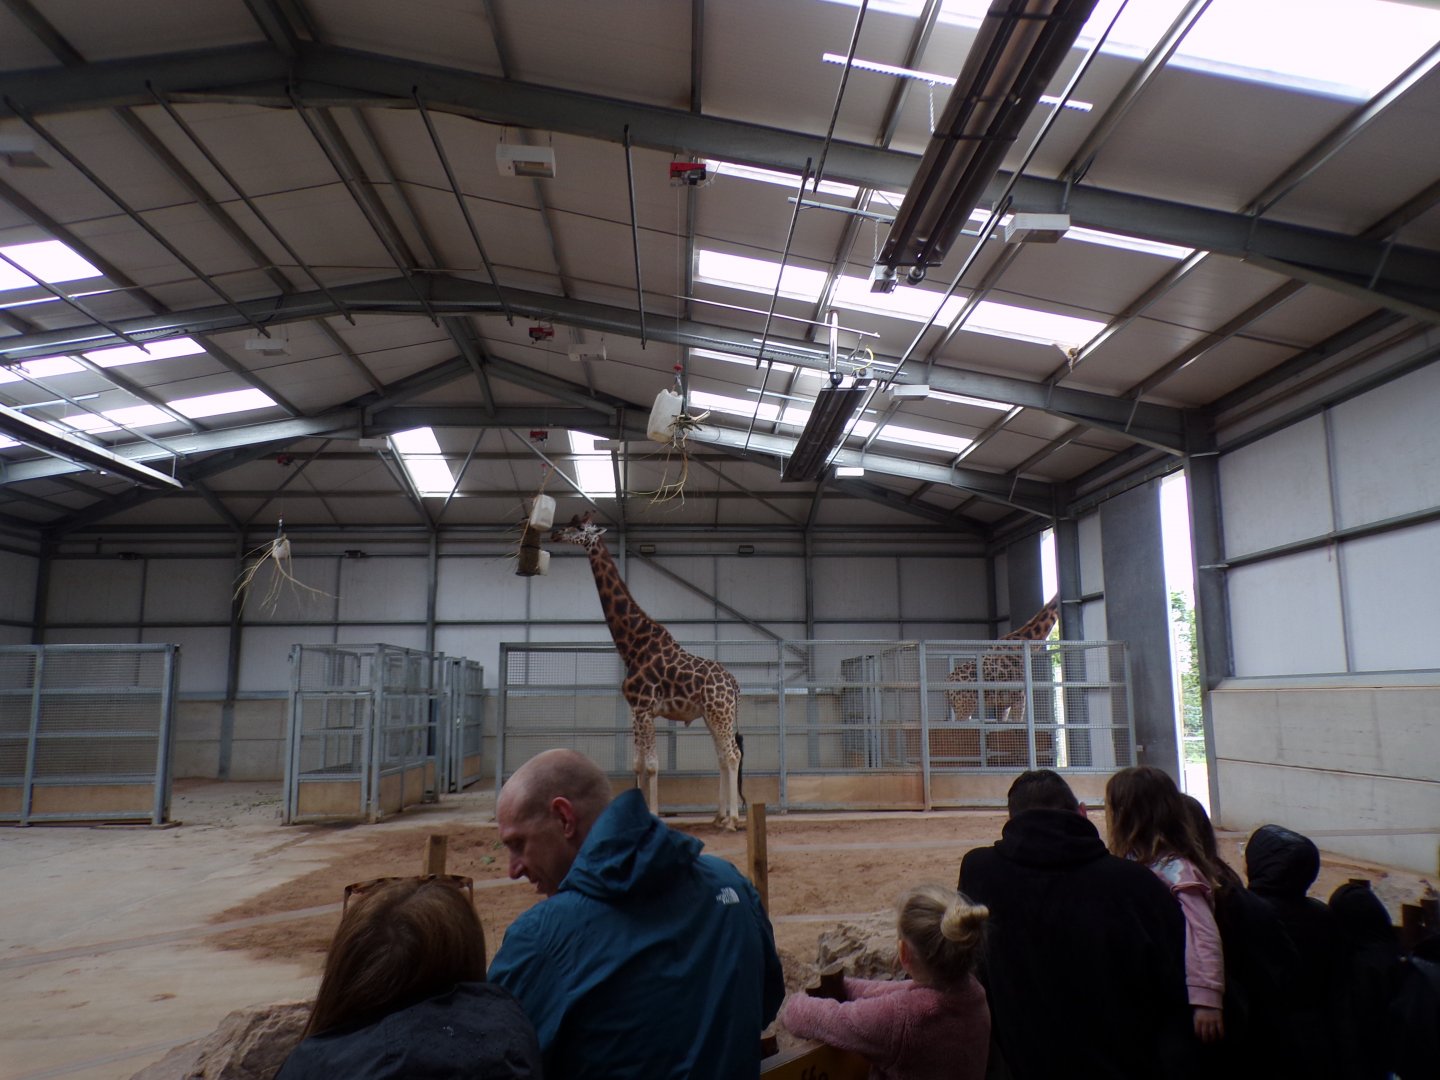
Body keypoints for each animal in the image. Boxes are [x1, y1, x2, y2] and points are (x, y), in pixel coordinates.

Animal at [550, 514, 744, 830]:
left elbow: (652, 765)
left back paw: (733, 821)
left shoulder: (645, 708)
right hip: (712, 715)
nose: (555, 534)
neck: (632, 644)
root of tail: (735, 685)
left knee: (732, 754)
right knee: (720, 757)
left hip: (720, 712)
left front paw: (653, 814)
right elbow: (637, 764)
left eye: (579, 528)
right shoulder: (636, 710)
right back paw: (719, 817)